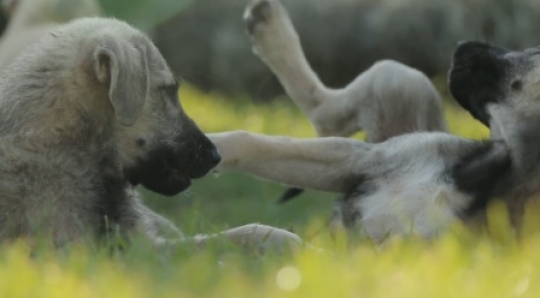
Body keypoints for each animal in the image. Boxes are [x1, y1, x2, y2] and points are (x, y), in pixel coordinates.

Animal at [208, 42, 540, 241]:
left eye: (533, 53)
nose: (462, 46)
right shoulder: (364, 160)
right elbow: (250, 144)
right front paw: (207, 146)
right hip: (400, 78)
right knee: (327, 107)